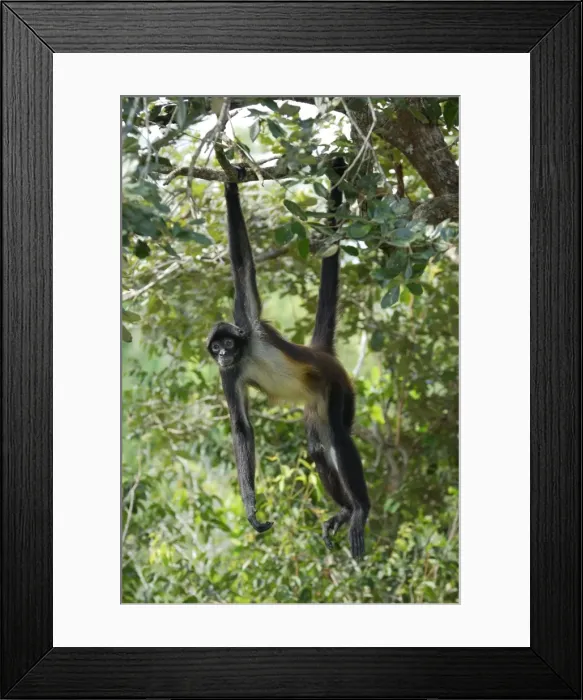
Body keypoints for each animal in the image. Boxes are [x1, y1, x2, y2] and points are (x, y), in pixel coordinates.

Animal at [206, 159, 370, 559]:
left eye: (227, 344)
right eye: (216, 350)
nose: (222, 355)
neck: (246, 352)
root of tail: (320, 353)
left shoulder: (248, 323)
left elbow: (243, 266)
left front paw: (231, 185)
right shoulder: (228, 375)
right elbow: (241, 426)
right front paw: (251, 507)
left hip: (337, 387)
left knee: (337, 436)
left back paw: (360, 509)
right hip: (314, 403)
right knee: (317, 447)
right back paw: (345, 511)